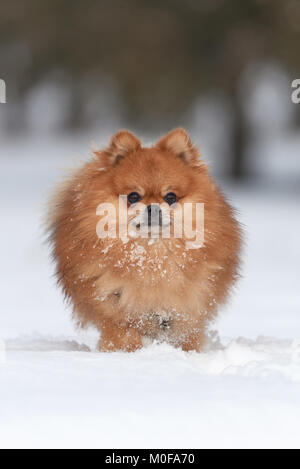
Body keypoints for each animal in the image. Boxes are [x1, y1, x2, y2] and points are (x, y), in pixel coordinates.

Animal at [48, 128, 241, 352]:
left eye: (171, 197)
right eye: (133, 196)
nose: (153, 208)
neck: (152, 257)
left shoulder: (186, 311)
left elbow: (185, 334)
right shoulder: (115, 307)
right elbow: (124, 333)